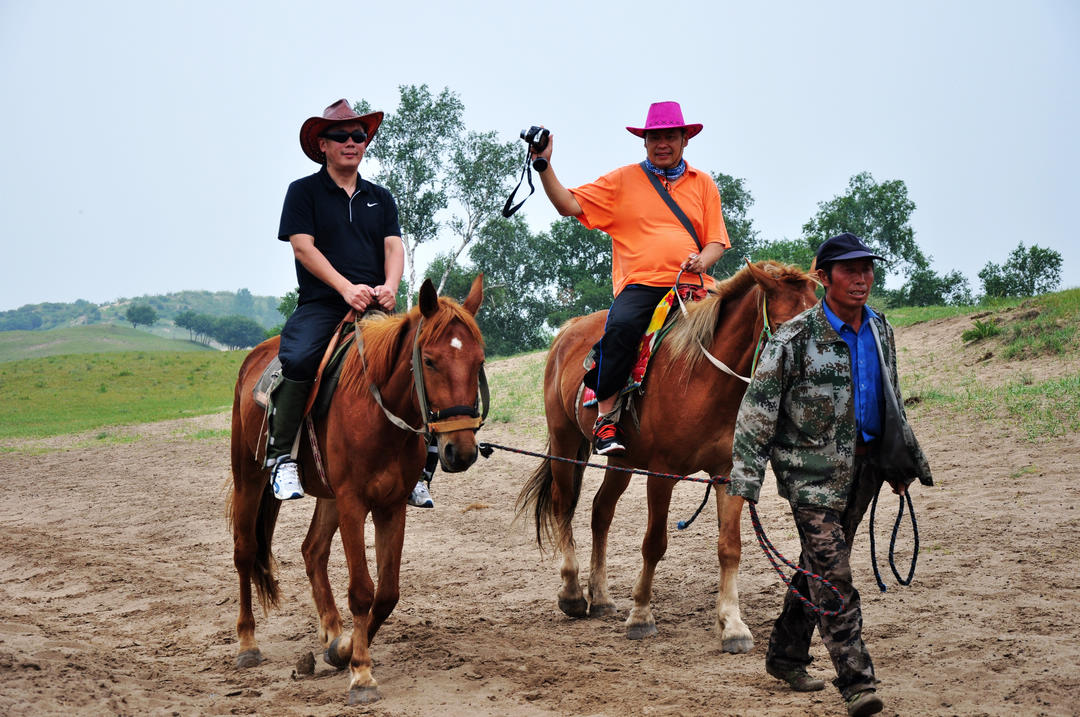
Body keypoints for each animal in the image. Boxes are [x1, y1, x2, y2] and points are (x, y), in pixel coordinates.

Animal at [227, 275, 486, 704]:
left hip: (327, 496)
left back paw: (332, 630)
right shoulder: (353, 503)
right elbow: (363, 590)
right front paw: (361, 674)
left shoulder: (391, 506)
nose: (460, 450)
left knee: (312, 550)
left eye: (479, 360)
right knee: (245, 552)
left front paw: (344, 648)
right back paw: (247, 643)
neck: (377, 412)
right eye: (430, 361)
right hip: (249, 477)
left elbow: (387, 592)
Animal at [518, 262, 812, 647]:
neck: (702, 379)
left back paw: (601, 597)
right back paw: (572, 592)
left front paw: (733, 624)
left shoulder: (729, 472)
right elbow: (654, 543)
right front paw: (641, 615)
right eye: (782, 327)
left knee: (601, 511)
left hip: (622, 460)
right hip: (565, 441)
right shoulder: (662, 474)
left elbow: (729, 547)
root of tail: (570, 328)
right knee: (564, 503)